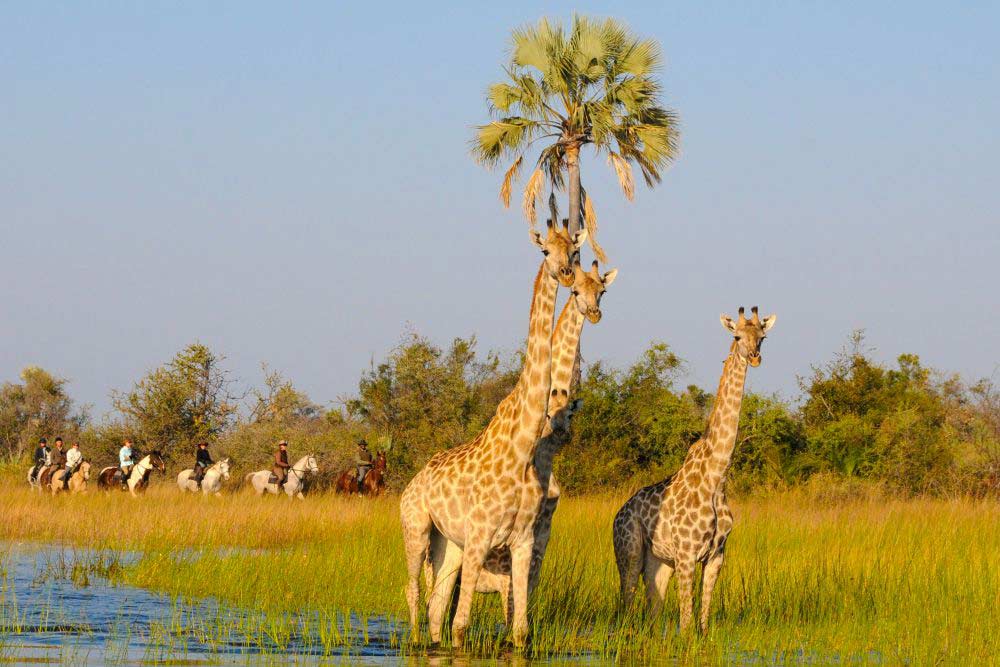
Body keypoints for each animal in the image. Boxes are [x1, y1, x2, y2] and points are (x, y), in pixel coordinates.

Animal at [398, 219, 584, 648]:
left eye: (574, 250)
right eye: (546, 250)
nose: (566, 273)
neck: (521, 450)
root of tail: (413, 482)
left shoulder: (523, 541)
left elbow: (520, 631)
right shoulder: (482, 536)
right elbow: (462, 625)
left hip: (449, 544)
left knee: (435, 606)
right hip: (416, 528)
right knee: (415, 592)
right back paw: (413, 642)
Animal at [612, 306, 776, 632]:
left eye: (762, 337)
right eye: (737, 337)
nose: (754, 357)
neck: (716, 479)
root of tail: (617, 514)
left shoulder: (716, 556)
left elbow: (702, 620)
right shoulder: (687, 554)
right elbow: (686, 624)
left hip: (659, 562)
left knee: (653, 609)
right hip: (629, 552)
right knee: (626, 603)